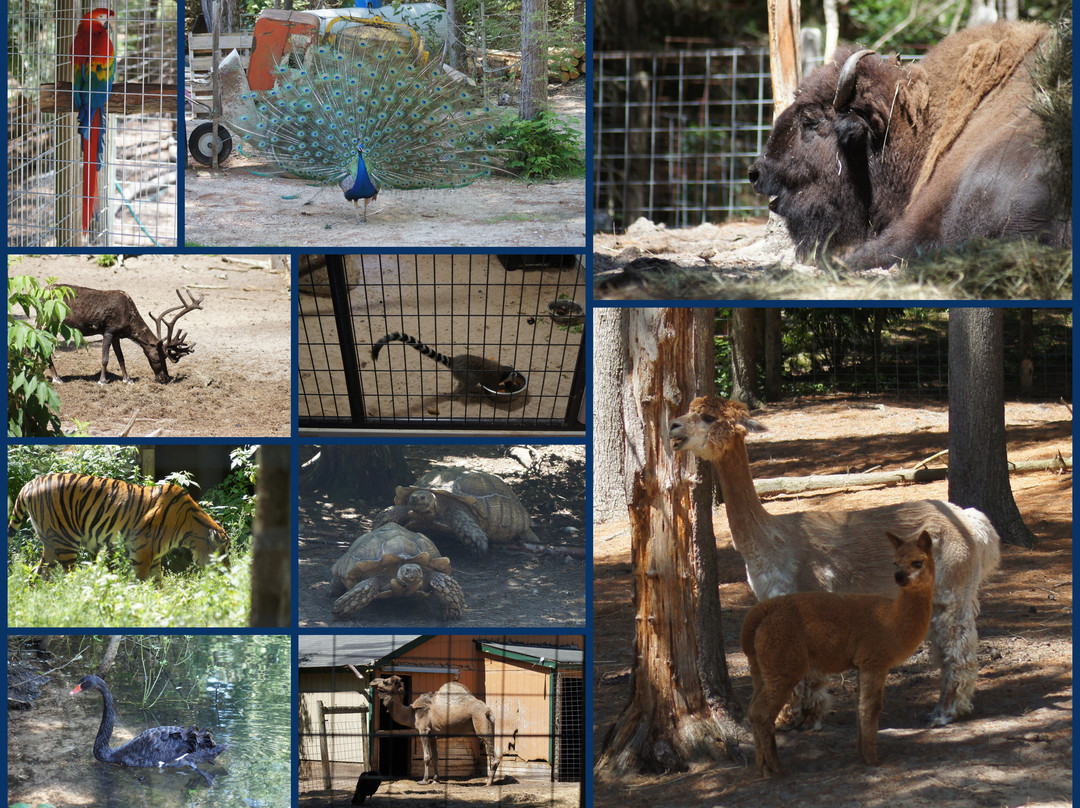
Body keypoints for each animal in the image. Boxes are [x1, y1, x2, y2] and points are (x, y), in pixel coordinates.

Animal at [7, 473, 230, 578]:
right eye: (224, 552)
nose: (229, 570)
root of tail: (29, 484)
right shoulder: (143, 552)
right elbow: (140, 581)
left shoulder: (155, 556)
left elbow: (157, 583)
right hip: (65, 541)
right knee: (69, 576)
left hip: (50, 543)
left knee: (40, 572)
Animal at [371, 674, 501, 786]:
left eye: (385, 681)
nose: (373, 681)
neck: (412, 713)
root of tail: (488, 711)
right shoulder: (432, 736)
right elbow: (435, 758)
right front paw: (435, 780)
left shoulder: (423, 730)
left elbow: (426, 757)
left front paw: (423, 780)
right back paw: (489, 780)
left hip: (481, 725)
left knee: (492, 756)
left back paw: (488, 783)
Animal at [669, 395, 997, 725]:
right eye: (689, 409)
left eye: (708, 417)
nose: (673, 426)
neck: (771, 541)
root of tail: (970, 520)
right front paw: (799, 713)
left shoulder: (802, 593)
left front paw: (800, 716)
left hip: (953, 587)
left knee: (958, 646)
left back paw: (947, 711)